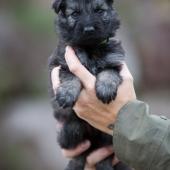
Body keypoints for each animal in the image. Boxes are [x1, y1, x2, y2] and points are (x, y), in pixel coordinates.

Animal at [48, 0, 132, 170]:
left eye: (99, 11)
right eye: (75, 14)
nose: (88, 30)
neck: (90, 48)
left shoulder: (115, 61)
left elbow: (108, 72)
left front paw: (105, 89)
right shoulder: (62, 62)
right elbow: (70, 75)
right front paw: (67, 94)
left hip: (109, 137)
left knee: (104, 157)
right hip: (71, 130)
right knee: (80, 155)